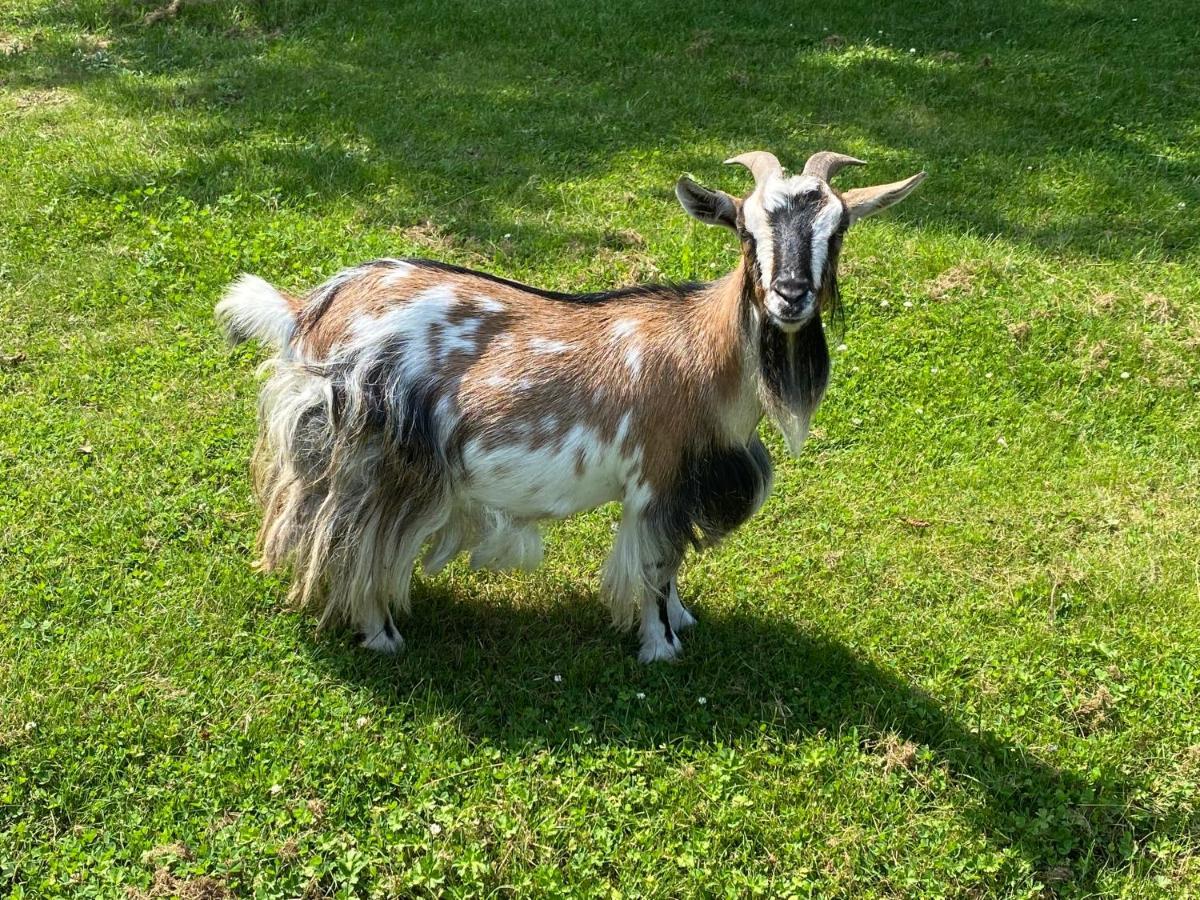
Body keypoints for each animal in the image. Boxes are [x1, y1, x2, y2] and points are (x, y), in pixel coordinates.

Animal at [218, 150, 926, 662]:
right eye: (745, 231)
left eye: (838, 230)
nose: (790, 295)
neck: (701, 353)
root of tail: (311, 310)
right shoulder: (655, 481)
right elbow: (654, 567)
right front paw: (660, 648)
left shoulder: (684, 486)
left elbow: (673, 564)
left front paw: (684, 620)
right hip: (369, 454)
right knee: (352, 537)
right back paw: (383, 634)